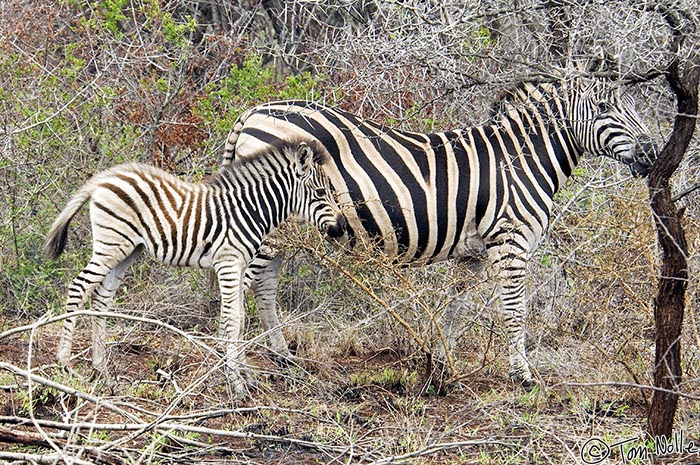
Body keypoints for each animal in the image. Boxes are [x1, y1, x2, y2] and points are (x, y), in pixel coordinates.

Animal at [45, 140, 346, 394]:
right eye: (322, 193)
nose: (342, 228)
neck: (251, 209)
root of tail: (105, 176)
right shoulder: (228, 262)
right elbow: (232, 320)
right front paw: (236, 383)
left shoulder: (240, 265)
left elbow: (239, 319)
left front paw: (241, 375)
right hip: (111, 243)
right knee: (79, 286)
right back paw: (65, 363)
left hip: (128, 250)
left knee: (101, 298)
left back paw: (102, 370)